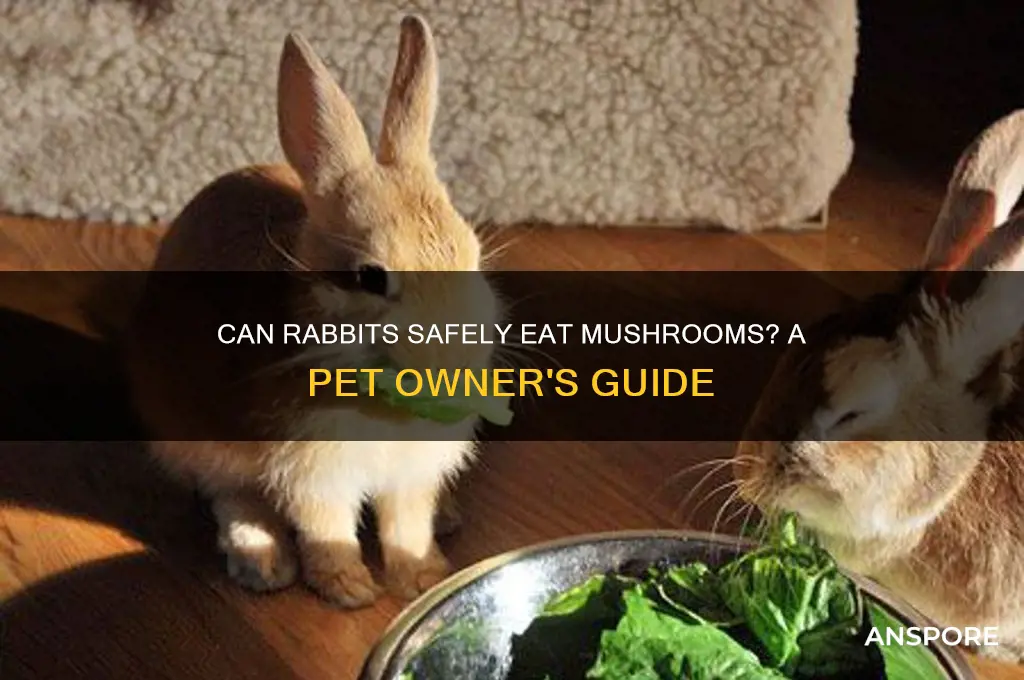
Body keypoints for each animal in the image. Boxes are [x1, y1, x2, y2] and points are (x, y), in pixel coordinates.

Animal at [122, 16, 501, 608]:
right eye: (371, 277)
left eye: (473, 254)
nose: (453, 355)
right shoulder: (313, 471)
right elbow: (327, 528)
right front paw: (351, 590)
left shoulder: (411, 474)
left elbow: (407, 525)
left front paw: (422, 579)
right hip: (196, 440)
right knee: (231, 496)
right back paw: (263, 560)